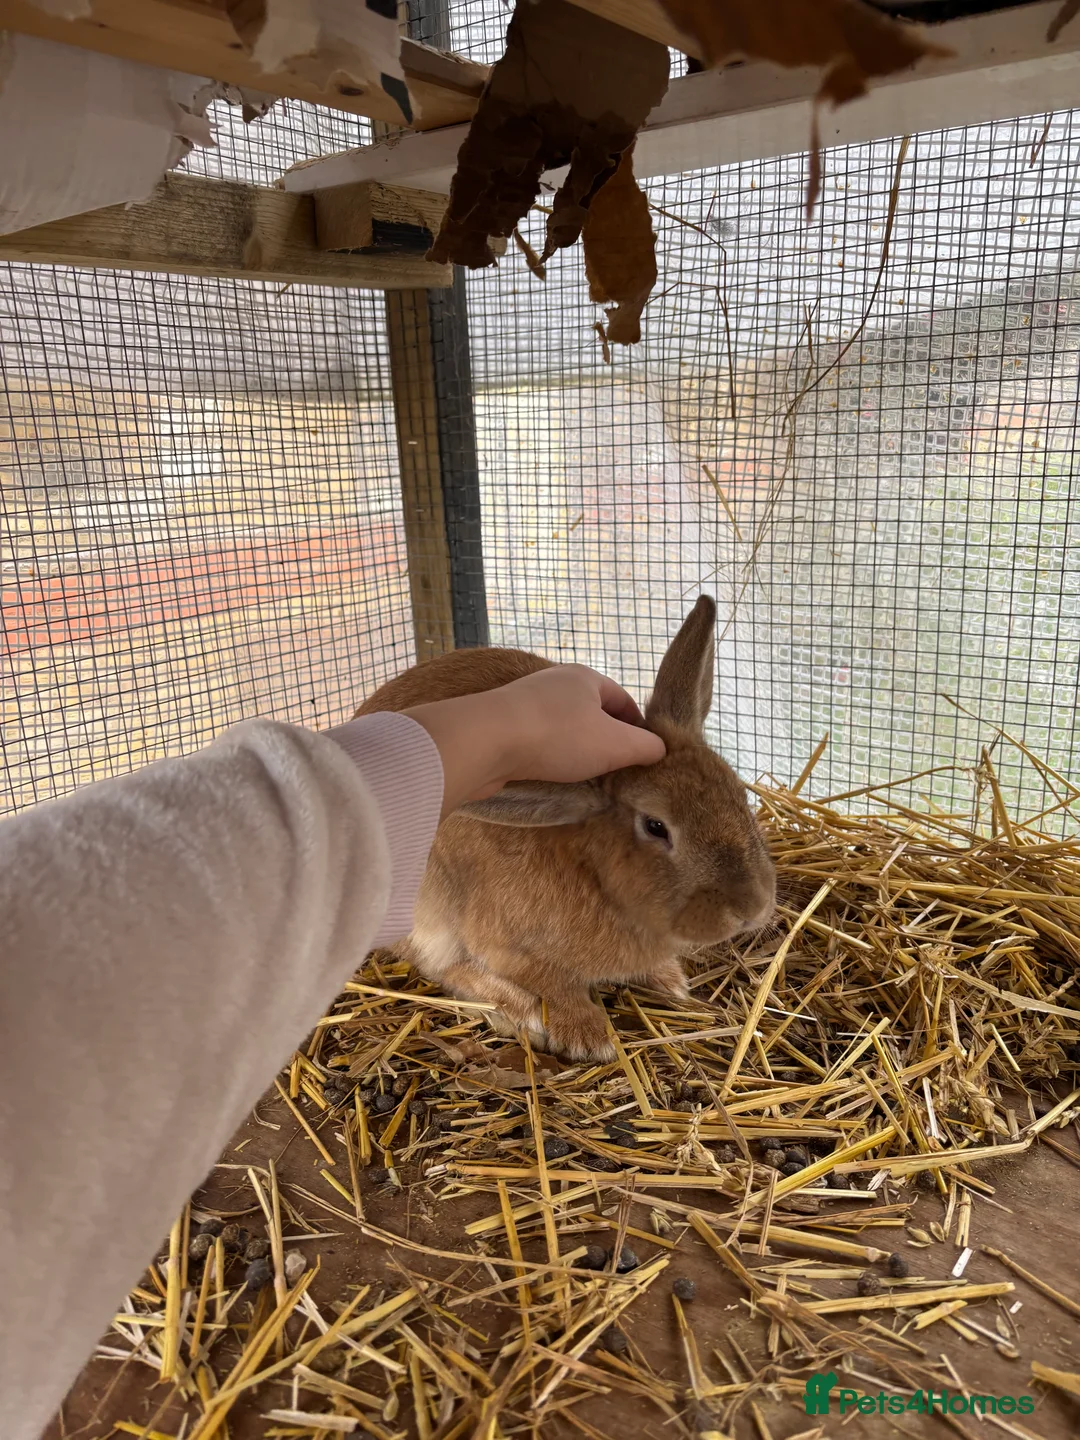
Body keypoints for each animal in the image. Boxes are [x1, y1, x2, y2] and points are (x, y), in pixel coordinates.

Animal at [355, 595, 776, 1063]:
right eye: (655, 826)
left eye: (737, 792)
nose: (753, 907)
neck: (594, 874)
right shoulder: (505, 946)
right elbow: (555, 985)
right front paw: (587, 1037)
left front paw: (670, 981)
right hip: (428, 906)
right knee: (445, 966)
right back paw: (520, 1012)